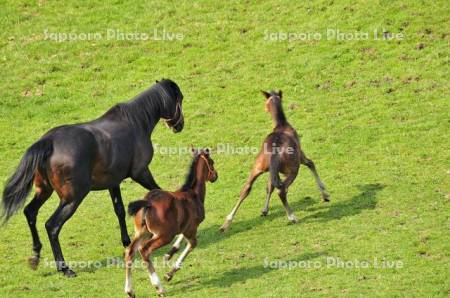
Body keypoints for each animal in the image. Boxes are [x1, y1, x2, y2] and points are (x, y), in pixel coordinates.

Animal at [1, 79, 185, 278]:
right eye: (180, 98)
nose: (180, 125)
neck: (135, 123)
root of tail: (48, 142)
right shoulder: (141, 172)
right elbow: (158, 191)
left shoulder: (113, 182)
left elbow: (119, 210)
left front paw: (127, 241)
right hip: (72, 199)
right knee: (52, 226)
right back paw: (64, 268)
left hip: (44, 191)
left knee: (30, 213)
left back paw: (35, 256)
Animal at [124, 148, 217, 296]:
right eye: (212, 162)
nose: (215, 176)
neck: (193, 193)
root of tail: (148, 203)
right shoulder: (191, 228)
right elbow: (192, 245)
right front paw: (169, 274)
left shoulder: (185, 227)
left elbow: (182, 239)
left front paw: (169, 254)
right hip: (164, 235)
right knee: (144, 250)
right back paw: (159, 288)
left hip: (142, 232)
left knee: (129, 251)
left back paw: (129, 291)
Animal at [220, 89, 328, 232]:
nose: (265, 108)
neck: (282, 125)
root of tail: (275, 148)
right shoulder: (300, 156)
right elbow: (311, 163)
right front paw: (325, 194)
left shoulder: (272, 170)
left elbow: (268, 186)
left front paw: (264, 210)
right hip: (293, 169)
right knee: (281, 190)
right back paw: (292, 217)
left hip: (258, 166)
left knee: (246, 188)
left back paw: (226, 223)